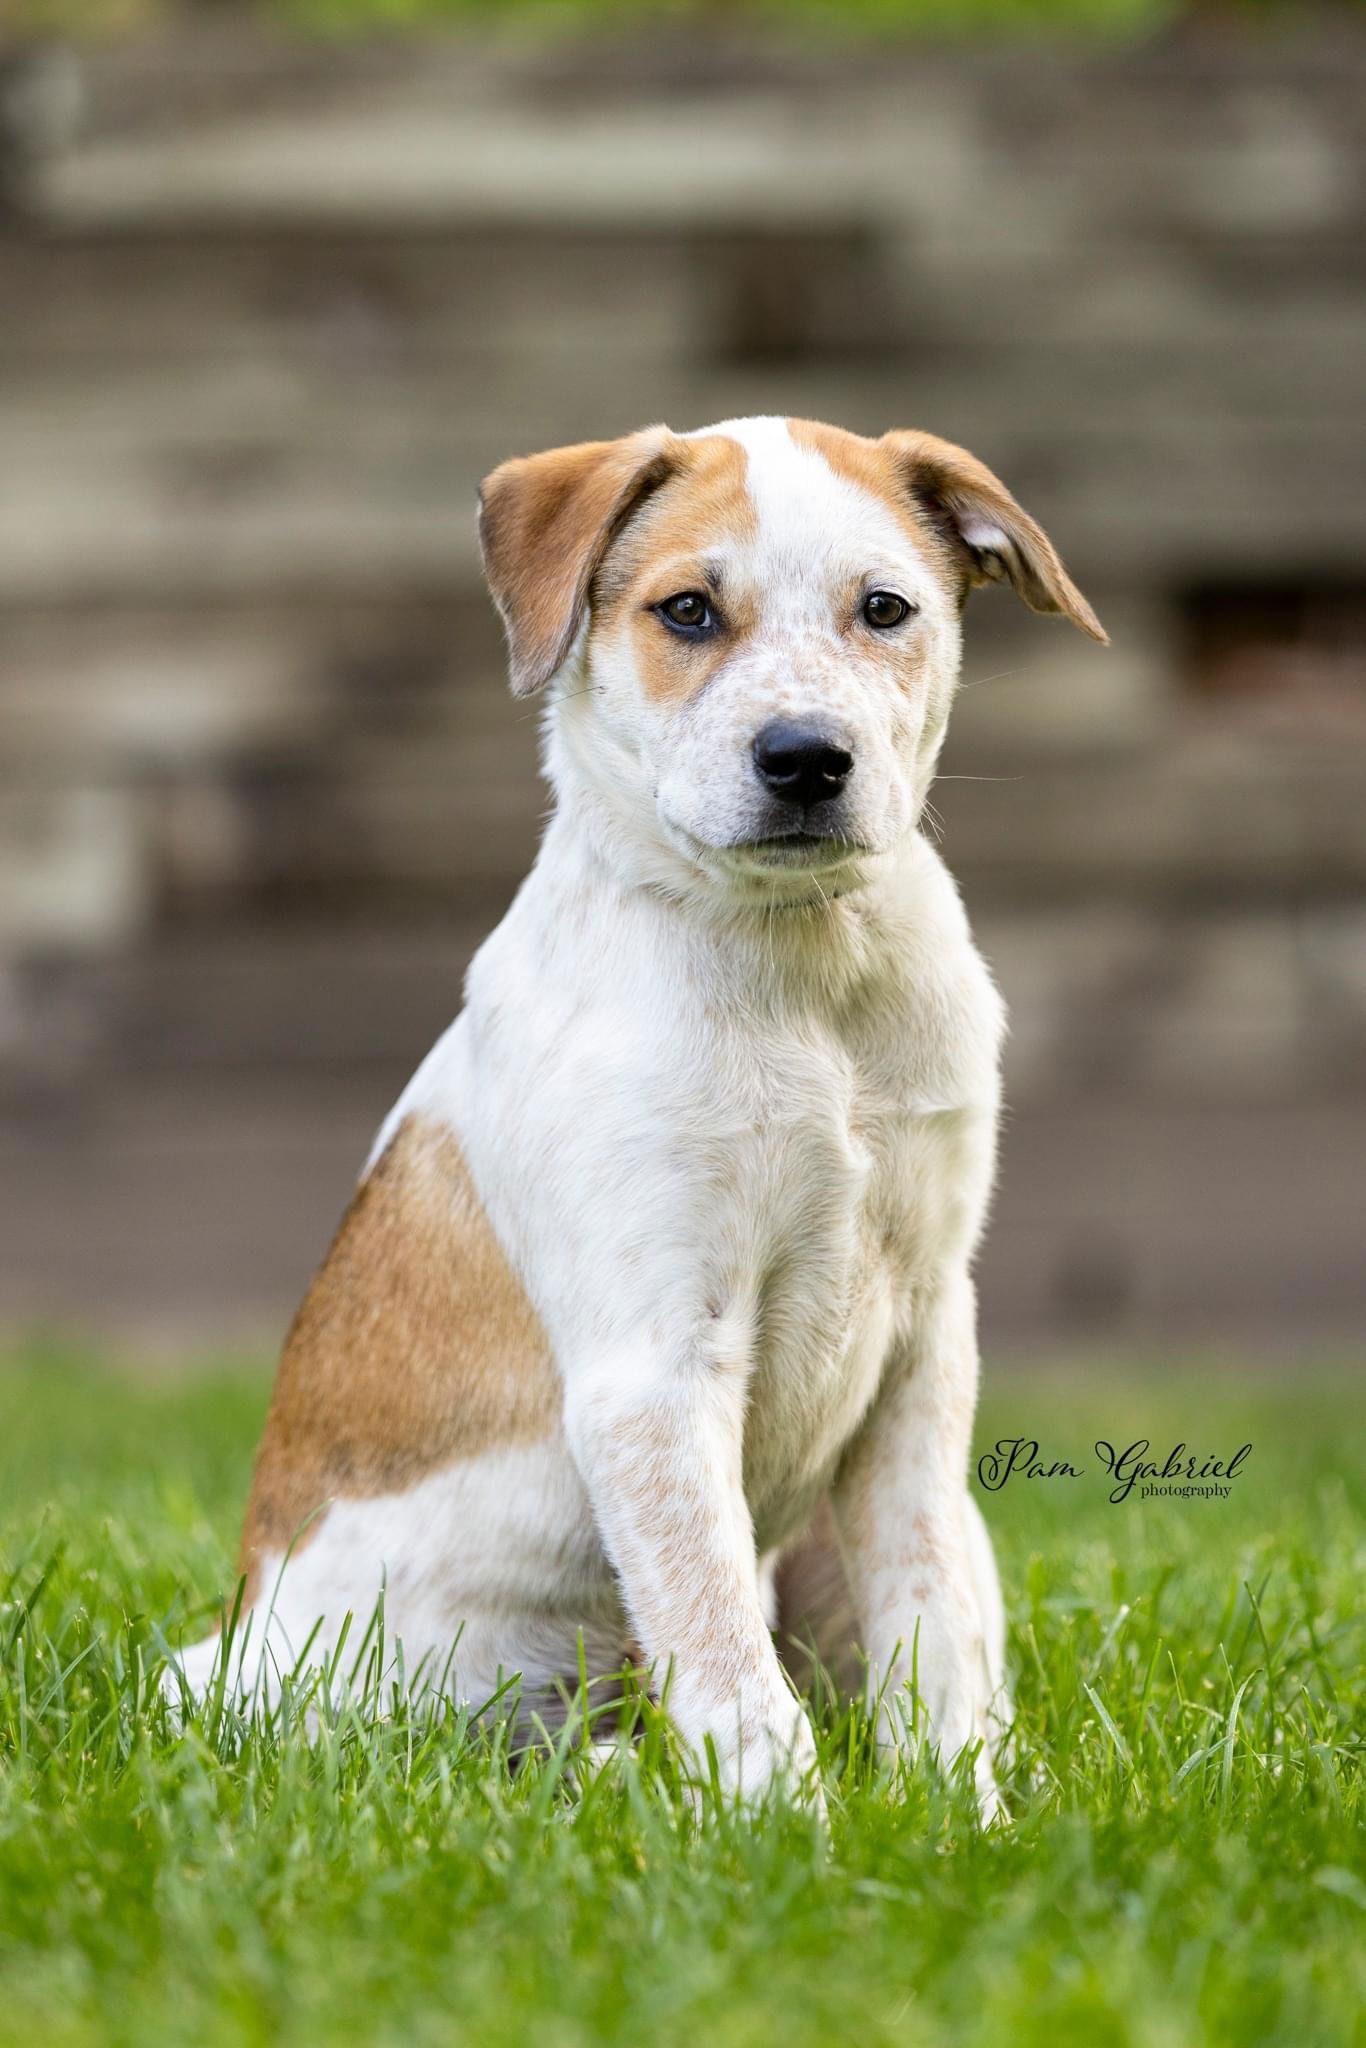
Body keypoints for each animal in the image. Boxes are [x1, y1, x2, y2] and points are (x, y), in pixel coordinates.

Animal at [174, 415, 1114, 1810]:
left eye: (884, 608)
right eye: (686, 611)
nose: (804, 758)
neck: (808, 974)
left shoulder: (923, 1339)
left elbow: (931, 1618)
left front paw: (961, 1813)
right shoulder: (655, 1363)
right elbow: (724, 1652)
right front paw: (793, 1832)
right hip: (324, 1693)